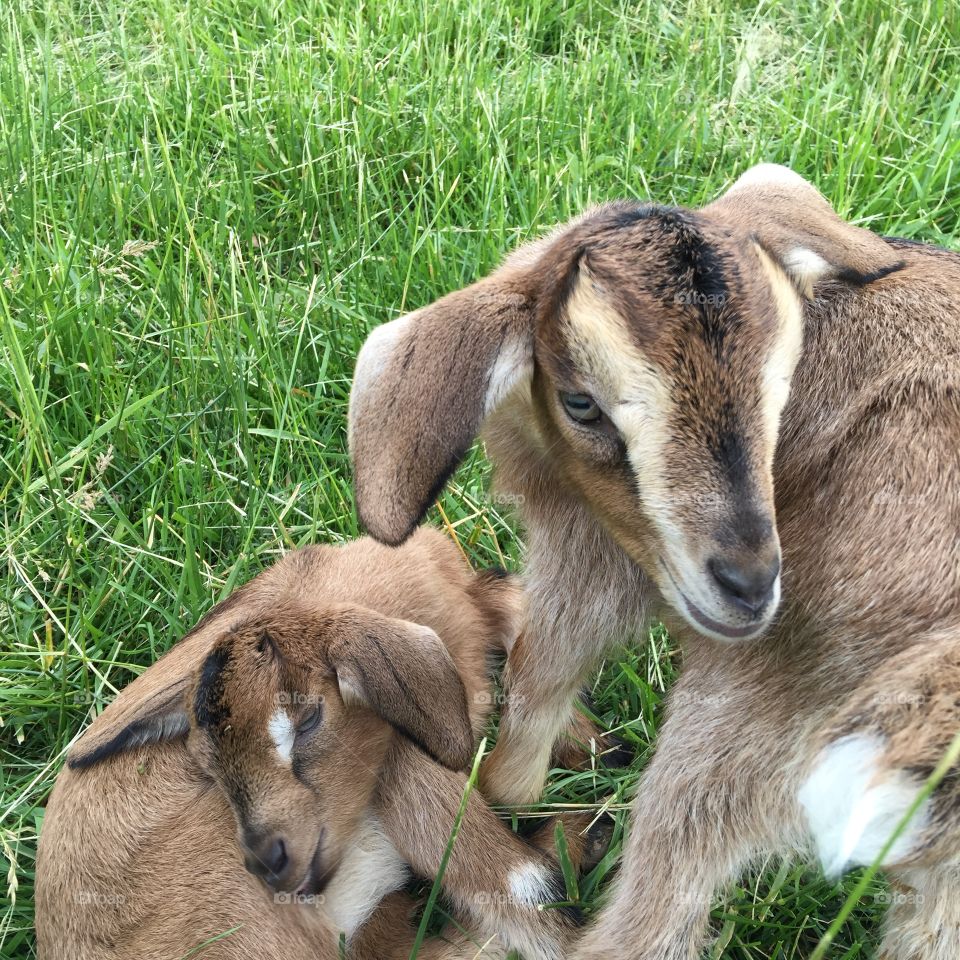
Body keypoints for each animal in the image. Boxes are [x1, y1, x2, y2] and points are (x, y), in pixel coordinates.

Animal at [350, 167, 960, 960]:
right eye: (582, 403)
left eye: (783, 389)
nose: (750, 585)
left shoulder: (592, 560)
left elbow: (536, 682)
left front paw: (505, 794)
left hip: (735, 732)